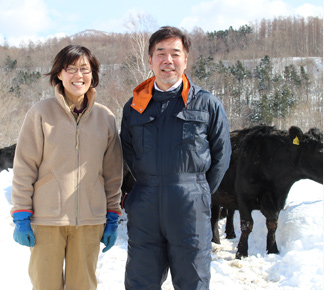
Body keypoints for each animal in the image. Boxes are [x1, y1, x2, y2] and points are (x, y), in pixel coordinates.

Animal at [213, 124, 322, 258]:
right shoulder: (244, 197)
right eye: (320, 151)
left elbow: (272, 224)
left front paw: (272, 249)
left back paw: (224, 236)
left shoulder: (277, 199)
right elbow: (247, 224)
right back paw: (216, 239)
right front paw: (241, 252)